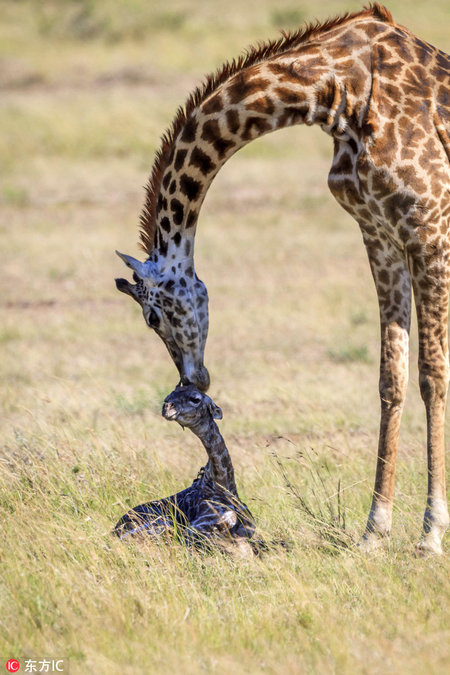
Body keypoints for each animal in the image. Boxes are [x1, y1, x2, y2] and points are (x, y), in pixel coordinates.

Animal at [114, 386, 255, 548]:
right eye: (168, 397)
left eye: (195, 399)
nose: (167, 407)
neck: (222, 483)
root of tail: (114, 531)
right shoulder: (197, 528)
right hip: (162, 524)